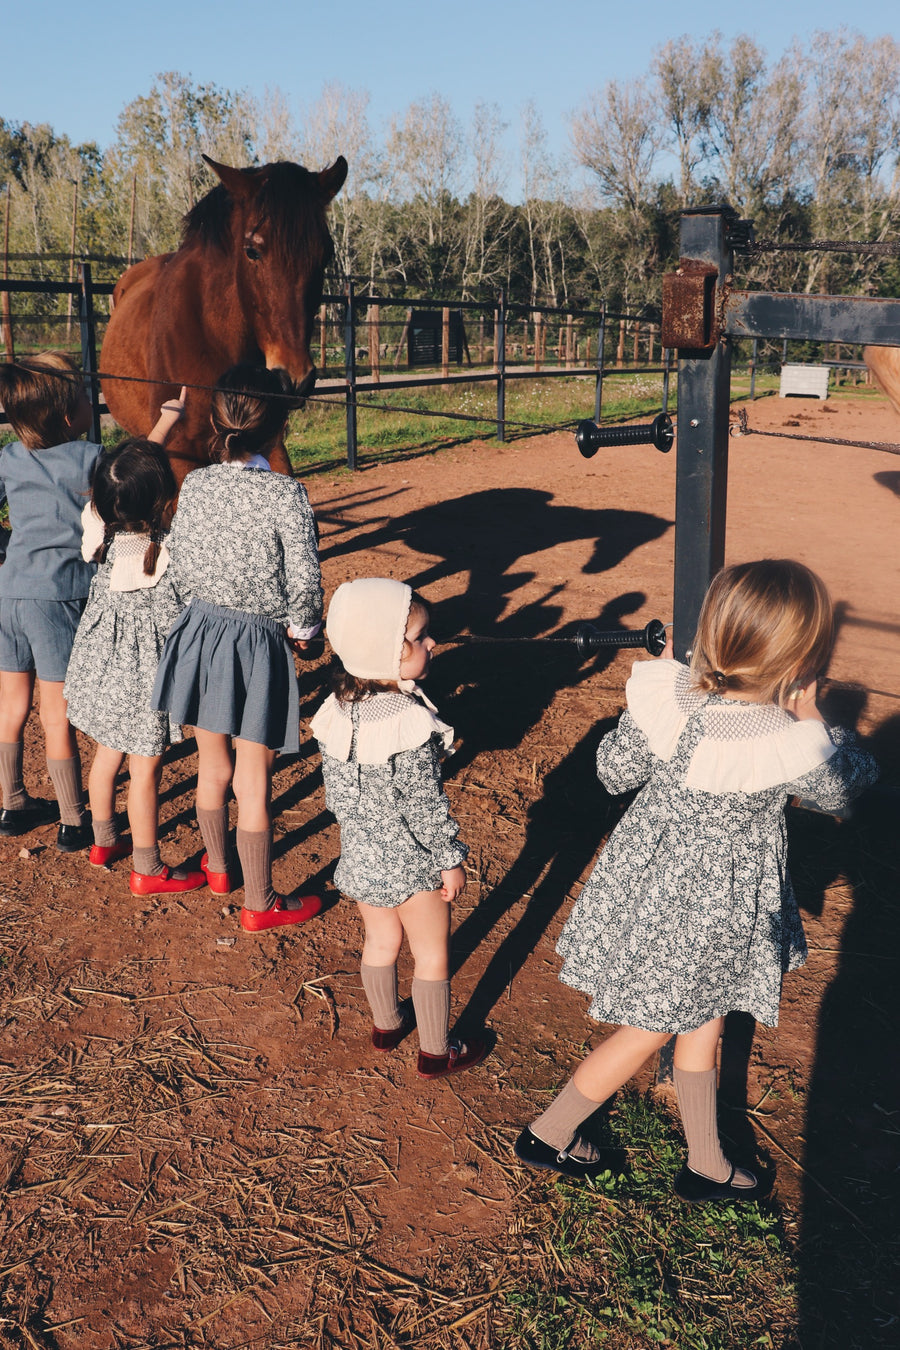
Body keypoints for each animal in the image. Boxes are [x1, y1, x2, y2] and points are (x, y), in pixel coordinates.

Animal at [100, 155, 348, 483]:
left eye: (326, 254)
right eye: (252, 251)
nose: (294, 379)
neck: (212, 339)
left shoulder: (270, 443)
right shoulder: (180, 455)